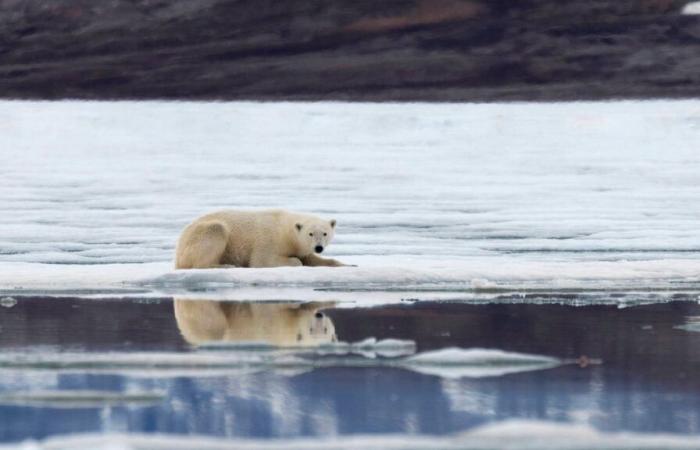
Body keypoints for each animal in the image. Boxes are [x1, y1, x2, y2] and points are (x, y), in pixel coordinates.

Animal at [175, 210, 348, 268]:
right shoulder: (268, 240)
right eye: (310, 234)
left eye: (325, 233)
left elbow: (311, 259)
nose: (319, 247)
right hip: (201, 234)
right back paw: (224, 266)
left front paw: (344, 264)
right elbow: (262, 260)